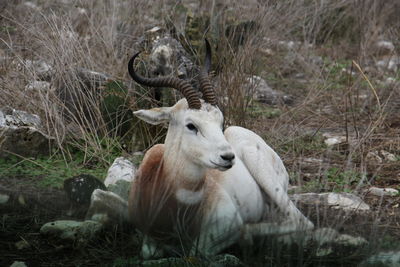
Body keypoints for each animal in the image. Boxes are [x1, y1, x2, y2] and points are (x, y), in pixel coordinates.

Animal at [126, 40, 314, 260]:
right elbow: (148, 252)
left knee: (302, 222)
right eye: (191, 125)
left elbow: (196, 250)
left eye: (220, 121)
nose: (228, 157)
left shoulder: (226, 226)